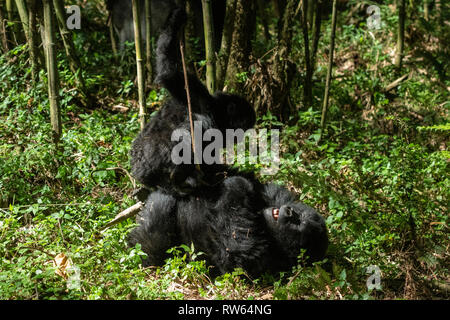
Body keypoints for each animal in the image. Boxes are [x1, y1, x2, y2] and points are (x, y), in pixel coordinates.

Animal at [128, 175, 328, 278]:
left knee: (156, 228)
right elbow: (267, 189)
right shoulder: (279, 198)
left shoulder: (263, 260)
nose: (289, 212)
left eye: (298, 224)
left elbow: (234, 257)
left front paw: (237, 184)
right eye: (300, 216)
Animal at [130, 8, 256, 195]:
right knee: (192, 128)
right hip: (150, 165)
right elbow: (171, 73)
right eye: (242, 127)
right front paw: (176, 20)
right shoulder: (201, 100)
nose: (238, 138)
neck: (218, 112)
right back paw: (178, 179)